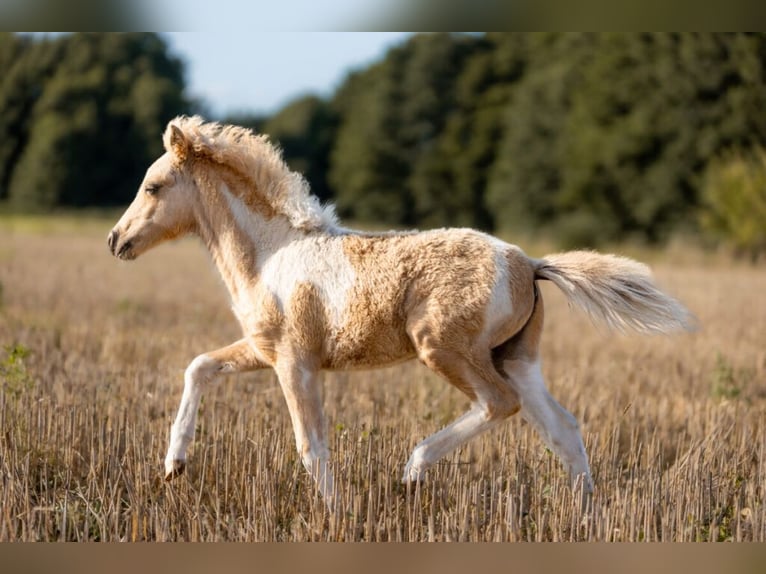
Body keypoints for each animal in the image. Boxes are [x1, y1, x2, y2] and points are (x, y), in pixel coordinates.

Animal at [108, 116, 695, 508]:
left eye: (153, 186)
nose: (116, 241)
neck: (270, 254)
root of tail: (529, 263)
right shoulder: (263, 350)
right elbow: (199, 367)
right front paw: (174, 465)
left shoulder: (295, 361)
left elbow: (311, 446)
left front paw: (336, 514)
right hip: (517, 358)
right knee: (563, 428)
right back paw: (585, 514)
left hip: (447, 350)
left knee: (500, 405)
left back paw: (413, 470)